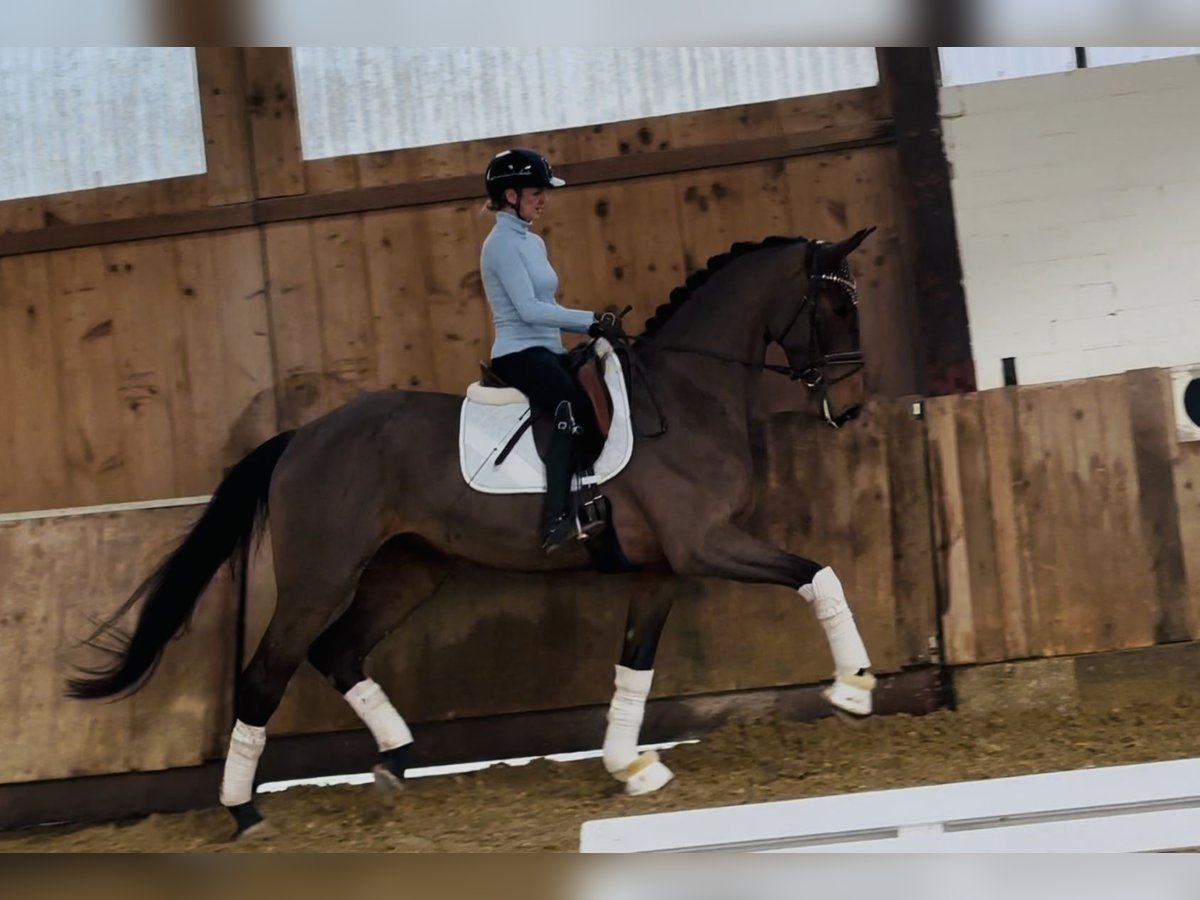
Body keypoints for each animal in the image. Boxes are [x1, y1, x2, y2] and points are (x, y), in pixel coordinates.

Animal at [72, 225, 883, 840]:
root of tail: (303, 436)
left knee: (339, 651)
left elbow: (635, 668)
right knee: (267, 672)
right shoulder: (704, 544)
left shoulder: (662, 568)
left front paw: (630, 767)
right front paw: (853, 688)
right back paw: (245, 812)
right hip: (321, 575)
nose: (852, 399)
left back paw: (395, 762)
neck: (684, 397)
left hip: (409, 568)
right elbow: (819, 574)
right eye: (833, 307)